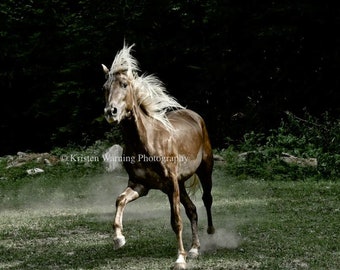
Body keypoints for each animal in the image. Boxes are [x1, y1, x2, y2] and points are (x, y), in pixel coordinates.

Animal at [101, 44, 215, 270]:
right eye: (104, 87)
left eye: (124, 84)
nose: (111, 112)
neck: (146, 141)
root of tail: (195, 116)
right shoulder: (140, 185)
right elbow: (120, 200)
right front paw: (119, 238)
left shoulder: (170, 184)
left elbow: (176, 221)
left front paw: (180, 259)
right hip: (180, 184)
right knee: (192, 210)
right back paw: (195, 249)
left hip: (204, 170)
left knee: (207, 200)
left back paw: (211, 234)